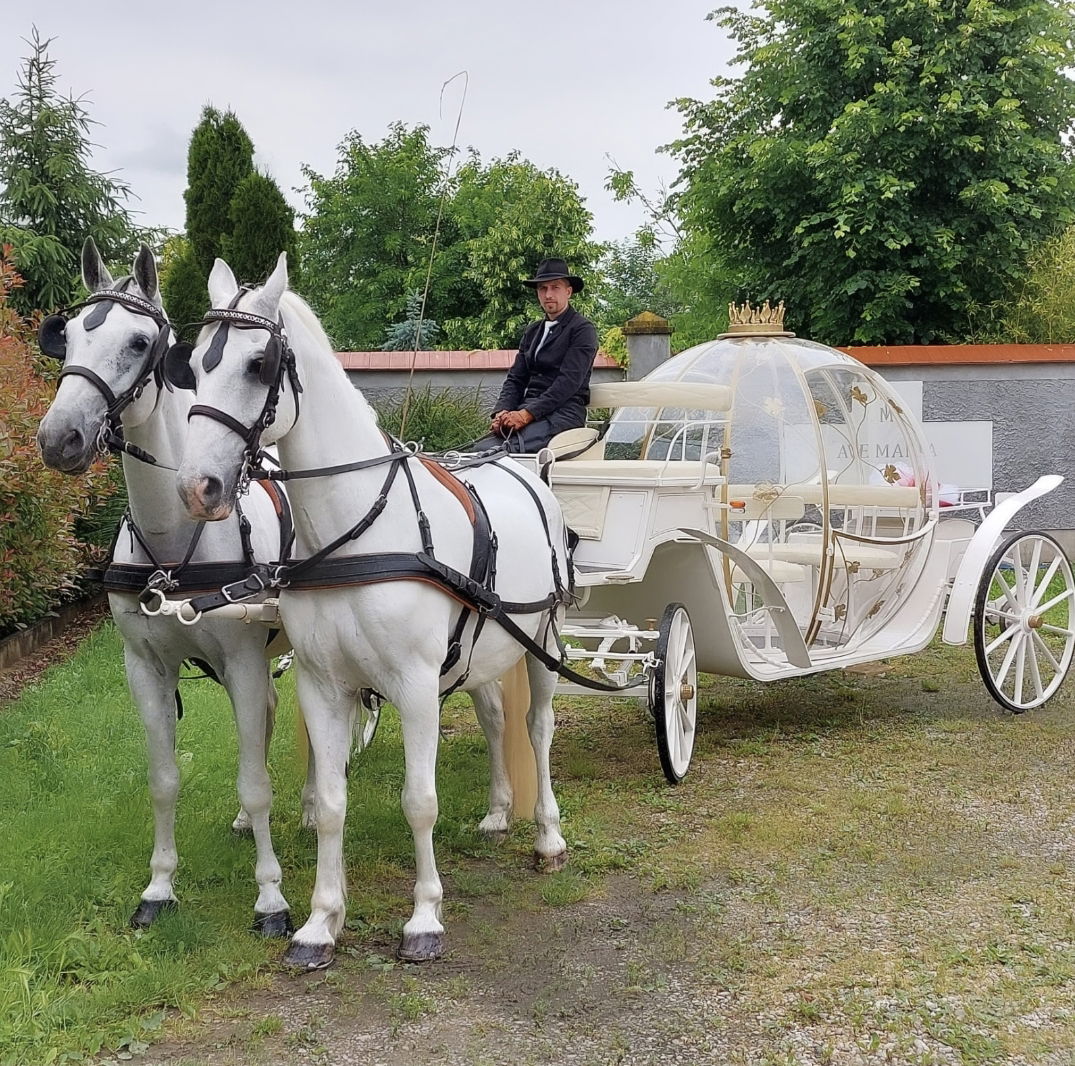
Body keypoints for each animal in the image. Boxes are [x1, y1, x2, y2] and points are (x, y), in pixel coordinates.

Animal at [37, 239, 294, 932]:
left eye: (137, 342)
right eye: (68, 335)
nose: (58, 438)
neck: (175, 542)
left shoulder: (242, 660)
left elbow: (256, 778)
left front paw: (271, 897)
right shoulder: (145, 668)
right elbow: (164, 779)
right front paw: (159, 887)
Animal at [172, 253, 571, 971]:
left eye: (258, 364)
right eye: (192, 363)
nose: (198, 487)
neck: (357, 529)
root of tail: (525, 468)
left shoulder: (413, 686)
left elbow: (419, 801)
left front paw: (424, 918)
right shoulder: (323, 685)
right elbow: (332, 803)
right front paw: (319, 923)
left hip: (545, 642)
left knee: (537, 727)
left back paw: (547, 837)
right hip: (484, 651)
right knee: (497, 721)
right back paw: (500, 813)